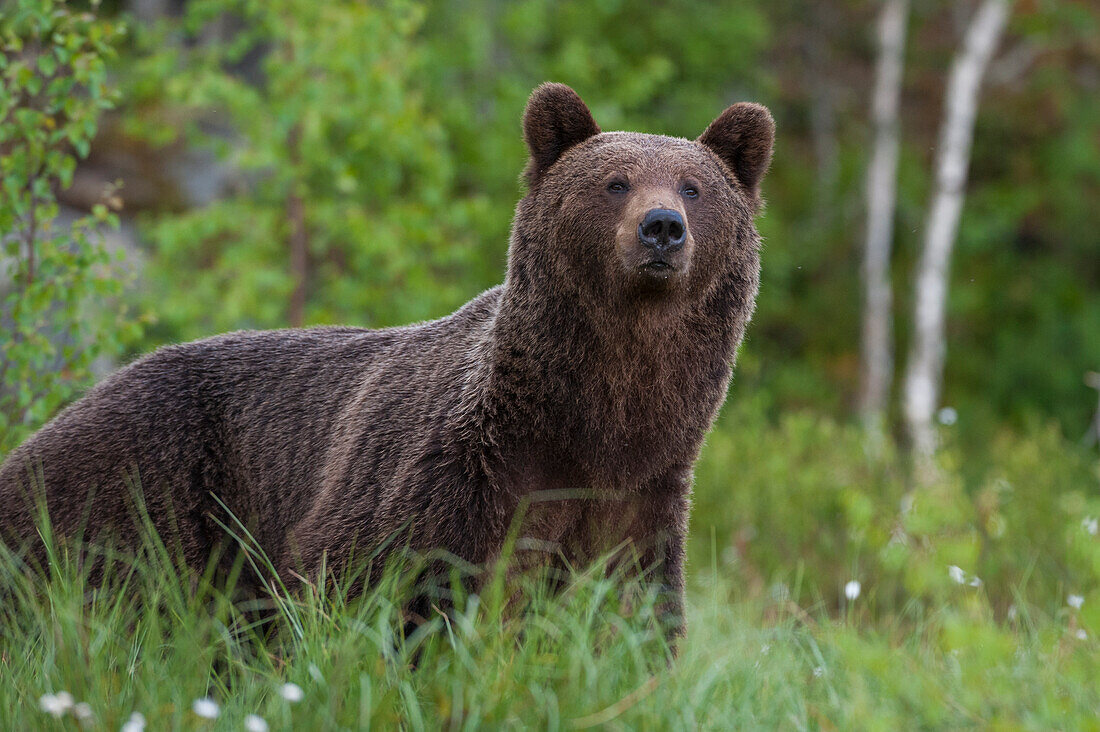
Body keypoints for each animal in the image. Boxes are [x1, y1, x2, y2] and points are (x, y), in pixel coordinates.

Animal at [0, 82, 774, 638]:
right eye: (615, 181)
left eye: (694, 187)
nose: (663, 228)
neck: (590, 429)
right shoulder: (443, 480)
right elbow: (363, 591)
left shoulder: (639, 501)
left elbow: (628, 619)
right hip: (142, 489)